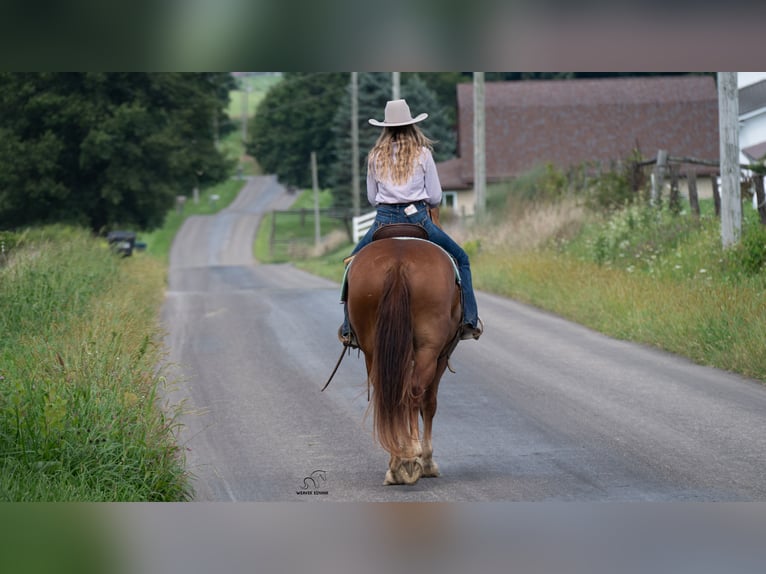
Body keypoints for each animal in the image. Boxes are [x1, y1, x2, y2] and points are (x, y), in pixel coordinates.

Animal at [345, 231, 462, 485]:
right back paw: (411, 456)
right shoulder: (442, 355)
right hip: (429, 349)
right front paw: (427, 462)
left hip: (373, 349)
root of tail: (398, 263)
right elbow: (429, 403)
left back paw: (397, 463)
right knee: (416, 393)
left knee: (388, 395)